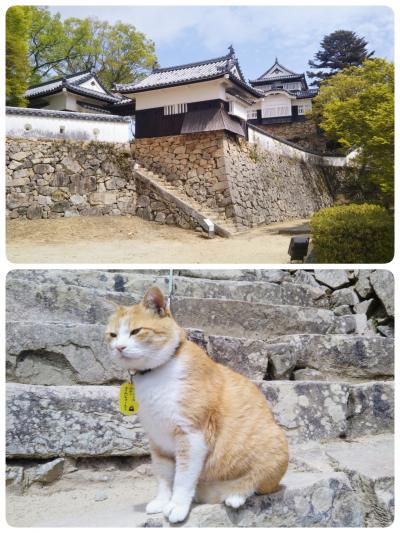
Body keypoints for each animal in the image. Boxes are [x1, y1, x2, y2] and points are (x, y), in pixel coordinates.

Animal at [105, 286, 288, 524]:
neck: (156, 375)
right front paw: (162, 501)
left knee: (257, 483)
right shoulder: (157, 440)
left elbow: (182, 479)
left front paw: (177, 506)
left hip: (274, 442)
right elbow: (164, 476)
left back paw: (235, 495)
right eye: (112, 335)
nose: (119, 347)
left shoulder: (192, 435)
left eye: (136, 331)